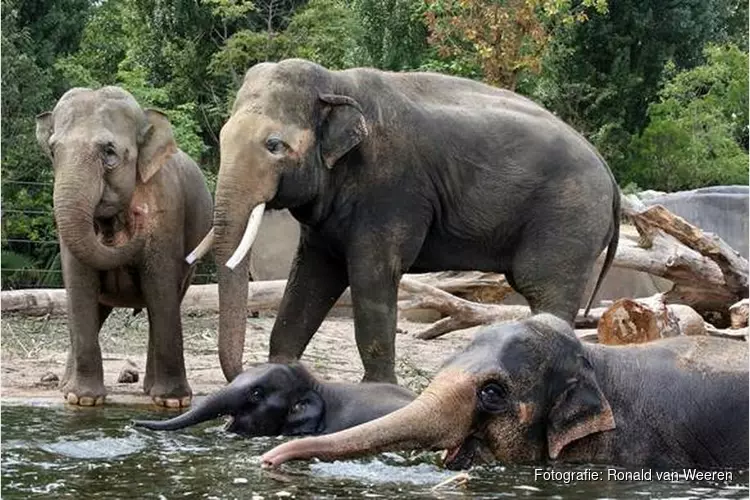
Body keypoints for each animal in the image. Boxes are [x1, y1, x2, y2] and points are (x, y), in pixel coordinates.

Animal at [37, 86, 214, 406]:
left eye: (109, 152)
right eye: (54, 151)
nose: (139, 217)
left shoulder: (167, 210)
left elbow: (160, 287)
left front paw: (173, 402)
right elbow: (80, 284)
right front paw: (83, 400)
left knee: (167, 300)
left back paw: (150, 390)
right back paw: (66, 387)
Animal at [191, 59, 620, 386]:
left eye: (273, 146)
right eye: (224, 137)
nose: (241, 375)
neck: (336, 83)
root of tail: (610, 177)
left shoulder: (392, 188)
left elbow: (372, 274)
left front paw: (378, 389)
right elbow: (311, 276)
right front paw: (280, 373)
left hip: (569, 218)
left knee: (546, 291)